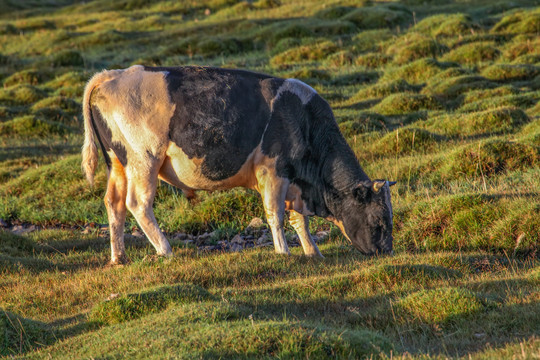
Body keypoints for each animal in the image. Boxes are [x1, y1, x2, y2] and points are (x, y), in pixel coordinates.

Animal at [81, 65, 396, 264]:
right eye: (379, 221)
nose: (387, 252)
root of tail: (112, 75)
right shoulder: (273, 171)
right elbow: (275, 214)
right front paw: (284, 252)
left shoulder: (293, 180)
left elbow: (299, 220)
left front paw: (313, 253)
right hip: (144, 159)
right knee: (138, 203)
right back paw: (165, 250)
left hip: (118, 163)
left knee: (114, 203)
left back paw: (119, 258)